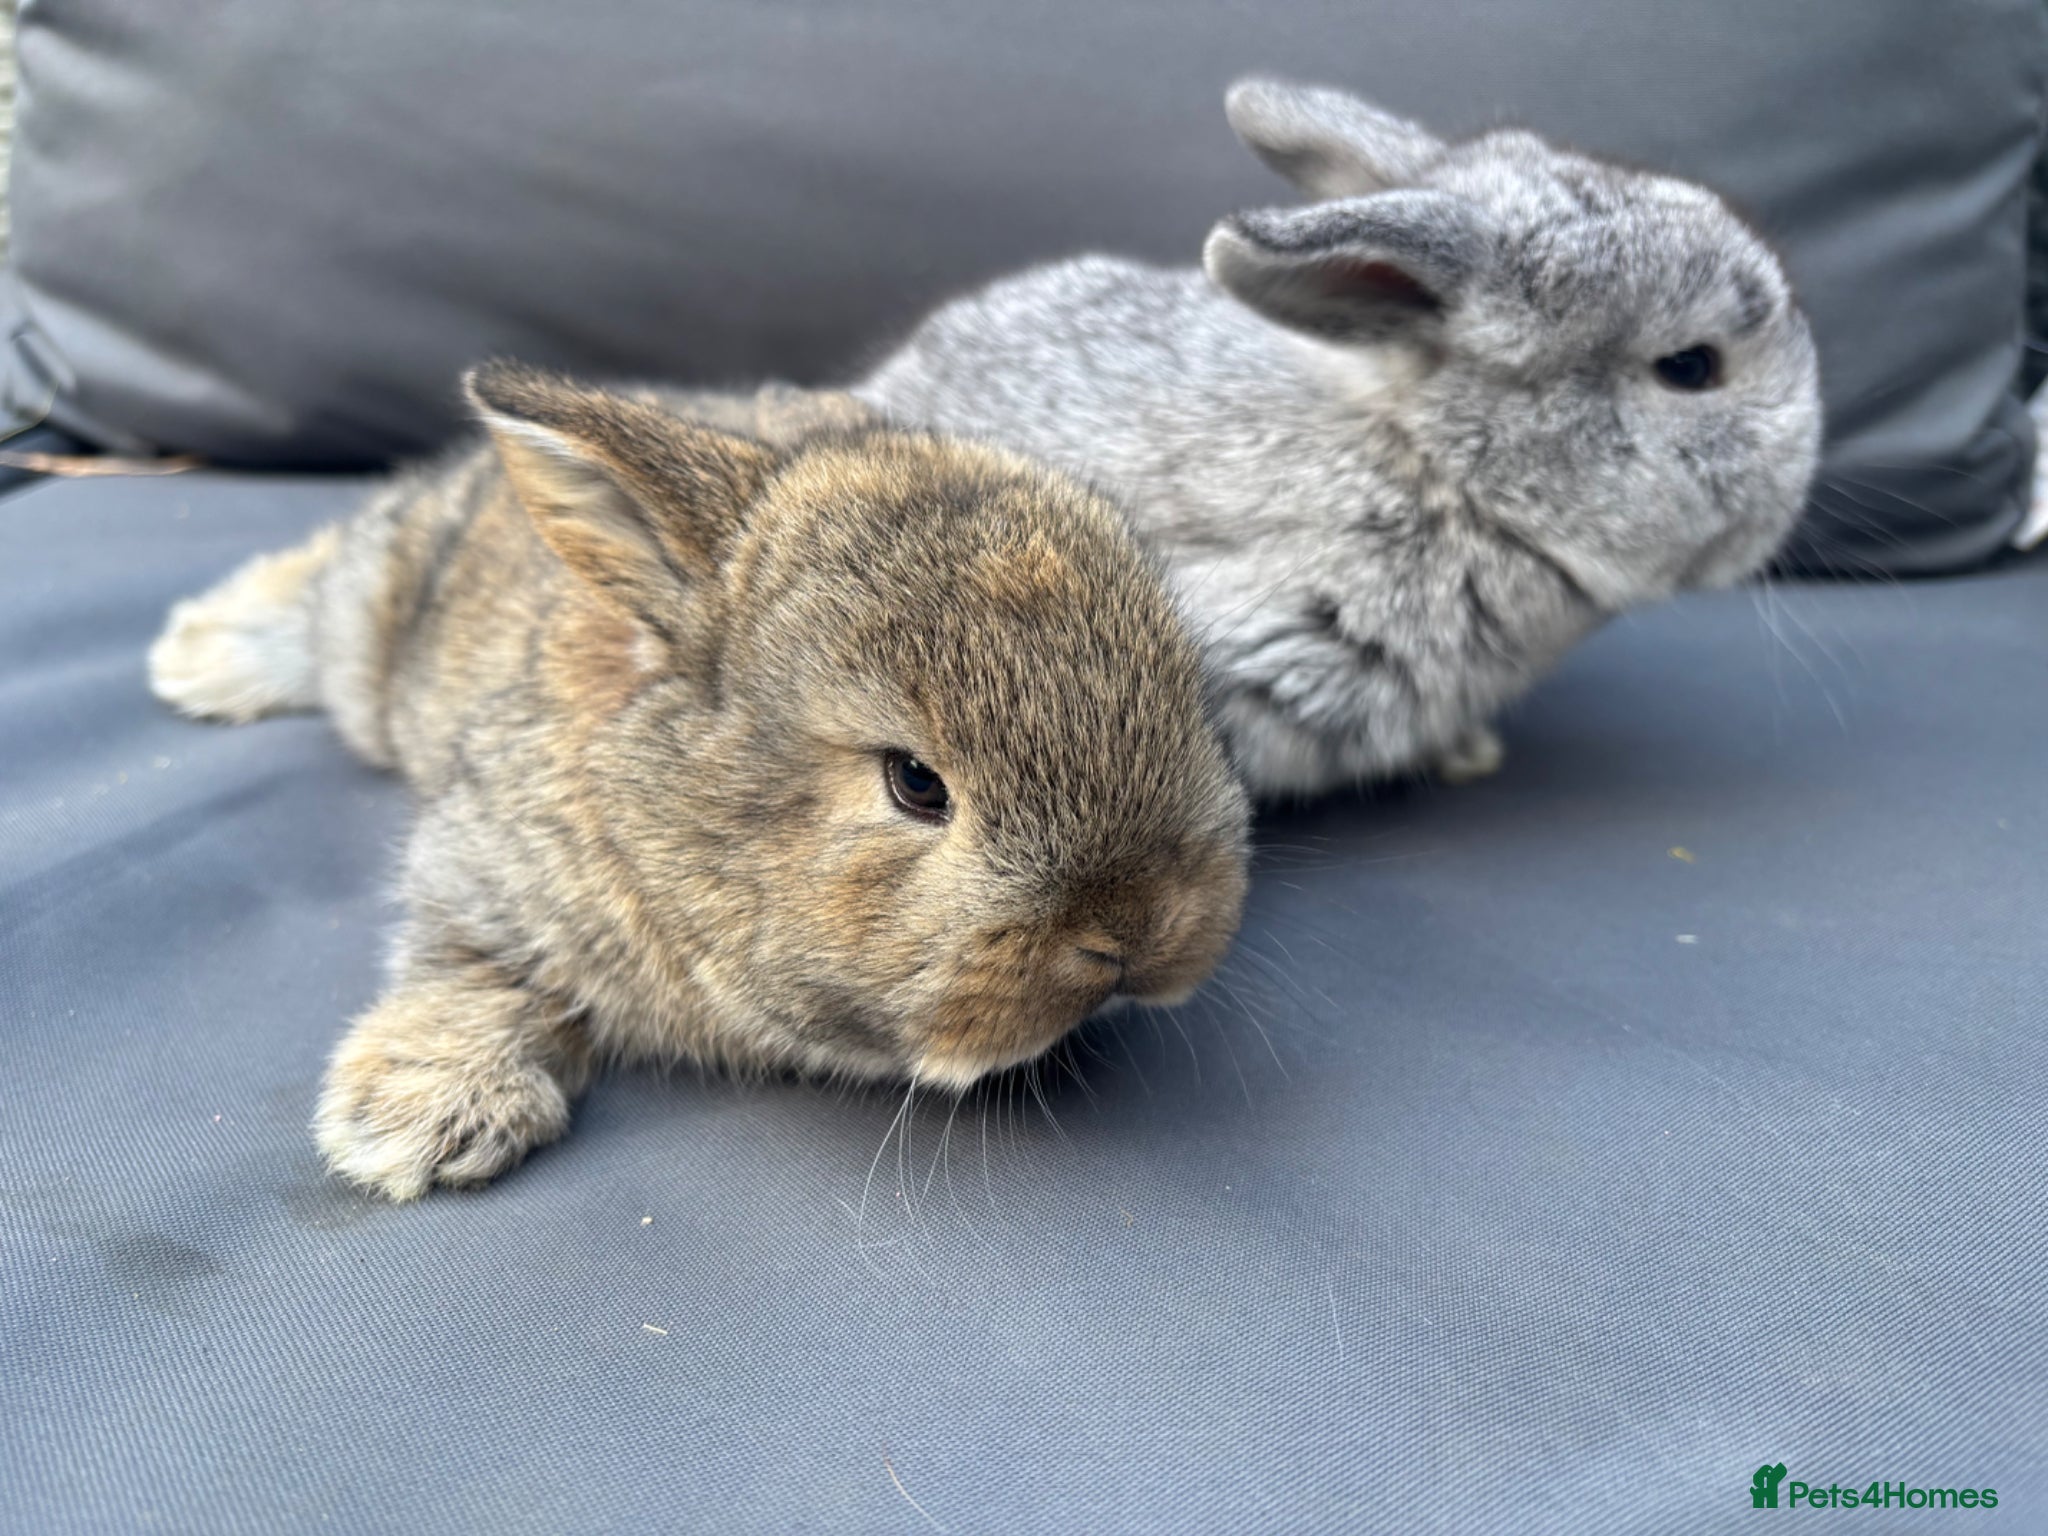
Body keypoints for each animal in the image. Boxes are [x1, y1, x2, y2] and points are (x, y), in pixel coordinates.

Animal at [148, 366, 1250, 1202]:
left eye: (1185, 689)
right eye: (914, 784)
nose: (1136, 929)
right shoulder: (480, 869)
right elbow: (468, 967)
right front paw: (412, 1126)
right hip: (374, 636)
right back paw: (200, 654)